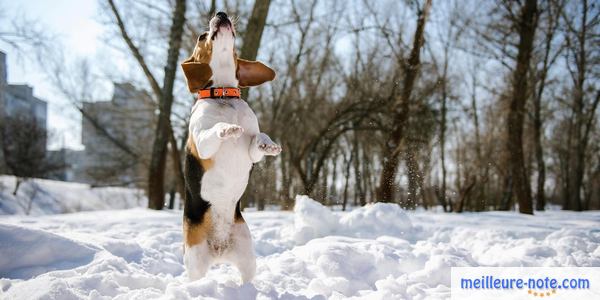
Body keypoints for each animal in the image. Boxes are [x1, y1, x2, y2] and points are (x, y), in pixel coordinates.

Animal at [180, 12, 282, 284]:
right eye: (201, 36)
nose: (221, 14)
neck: (223, 95)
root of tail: (219, 249)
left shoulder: (251, 153)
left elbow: (257, 140)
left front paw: (268, 144)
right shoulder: (201, 144)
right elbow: (214, 130)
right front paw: (227, 128)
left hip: (247, 254)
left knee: (246, 278)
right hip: (195, 261)